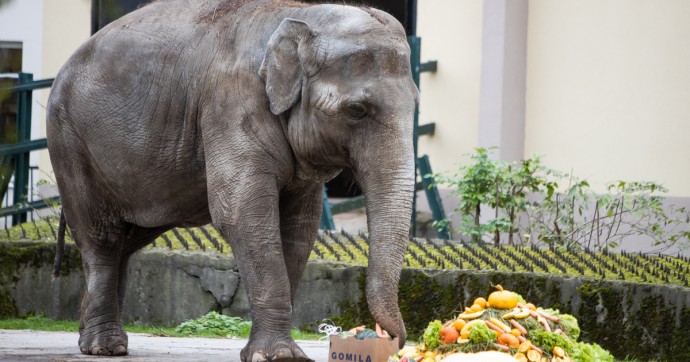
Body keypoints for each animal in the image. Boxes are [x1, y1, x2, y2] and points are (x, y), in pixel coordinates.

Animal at [48, 0, 416, 360]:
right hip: (69, 142)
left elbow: (299, 228)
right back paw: (105, 347)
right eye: (357, 110)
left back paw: (94, 336)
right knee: (103, 238)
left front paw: (276, 353)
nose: (391, 340)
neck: (301, 14)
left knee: (128, 240)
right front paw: (279, 356)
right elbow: (243, 214)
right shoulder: (230, 105)